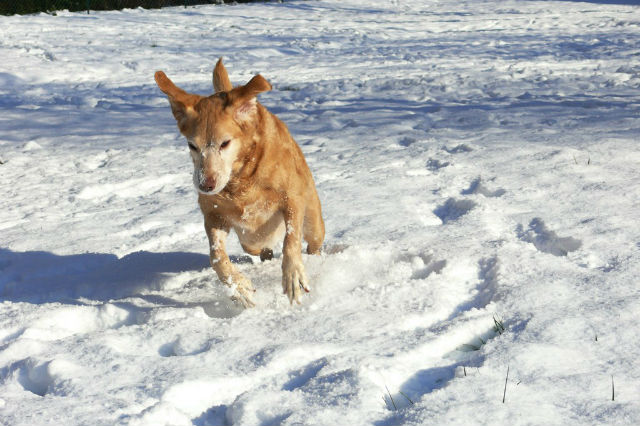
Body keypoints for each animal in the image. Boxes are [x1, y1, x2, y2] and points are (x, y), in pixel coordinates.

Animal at [155, 59, 324, 306]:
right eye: (192, 145)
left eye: (225, 143)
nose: (205, 185)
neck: (241, 178)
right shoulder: (214, 214)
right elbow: (216, 256)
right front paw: (239, 287)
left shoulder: (292, 198)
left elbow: (291, 239)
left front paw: (293, 274)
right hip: (250, 241)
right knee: (260, 249)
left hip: (313, 223)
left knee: (313, 243)